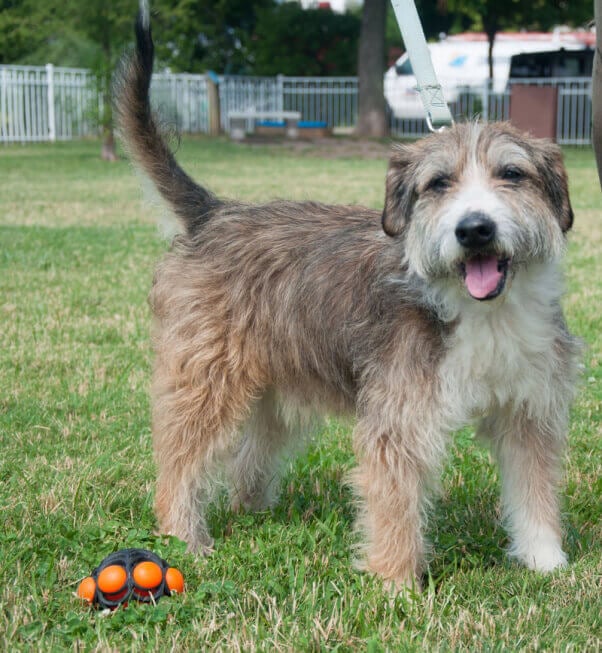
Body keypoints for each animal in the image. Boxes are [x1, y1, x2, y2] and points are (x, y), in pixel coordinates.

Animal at [115, 5, 580, 588]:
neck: (480, 312)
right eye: (439, 184)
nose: (474, 229)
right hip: (205, 381)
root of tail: (214, 213)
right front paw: (397, 584)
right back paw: (182, 535)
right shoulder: (397, 422)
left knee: (250, 454)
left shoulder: (529, 411)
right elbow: (396, 504)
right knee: (181, 458)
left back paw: (252, 511)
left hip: (272, 390)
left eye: (512, 174)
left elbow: (534, 490)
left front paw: (545, 560)